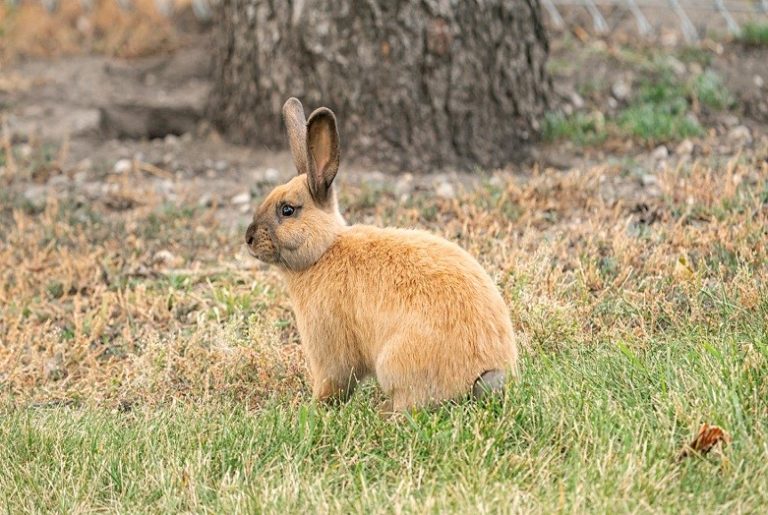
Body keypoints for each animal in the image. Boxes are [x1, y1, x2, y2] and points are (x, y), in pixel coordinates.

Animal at [244, 97, 518, 412]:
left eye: (287, 210)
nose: (248, 238)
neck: (323, 251)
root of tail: (486, 375)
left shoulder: (330, 349)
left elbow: (334, 382)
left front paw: (313, 409)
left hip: (395, 362)